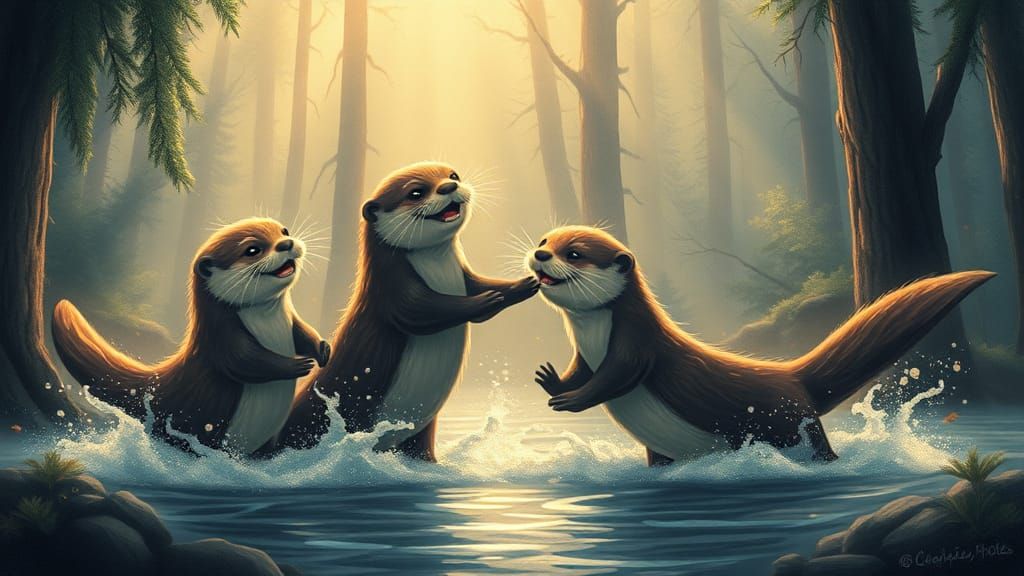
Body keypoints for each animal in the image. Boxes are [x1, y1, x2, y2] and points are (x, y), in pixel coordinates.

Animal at [52, 217, 329, 456]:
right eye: (252, 250)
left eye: (284, 231)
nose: (286, 244)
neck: (271, 325)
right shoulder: (220, 337)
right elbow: (244, 362)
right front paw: (297, 365)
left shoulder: (290, 321)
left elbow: (303, 333)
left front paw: (322, 350)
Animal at [281, 162, 540, 460]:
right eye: (416, 192)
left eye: (452, 175)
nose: (449, 186)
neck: (441, 272)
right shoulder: (391, 287)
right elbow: (419, 312)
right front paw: (488, 299)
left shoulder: (463, 278)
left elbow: (478, 285)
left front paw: (522, 284)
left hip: (422, 428)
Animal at [526, 225, 994, 466]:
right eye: (545, 239)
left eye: (575, 252)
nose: (540, 255)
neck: (594, 336)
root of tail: (791, 376)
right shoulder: (586, 355)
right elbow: (582, 372)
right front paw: (553, 382)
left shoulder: (637, 345)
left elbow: (616, 378)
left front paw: (570, 400)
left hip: (788, 421)